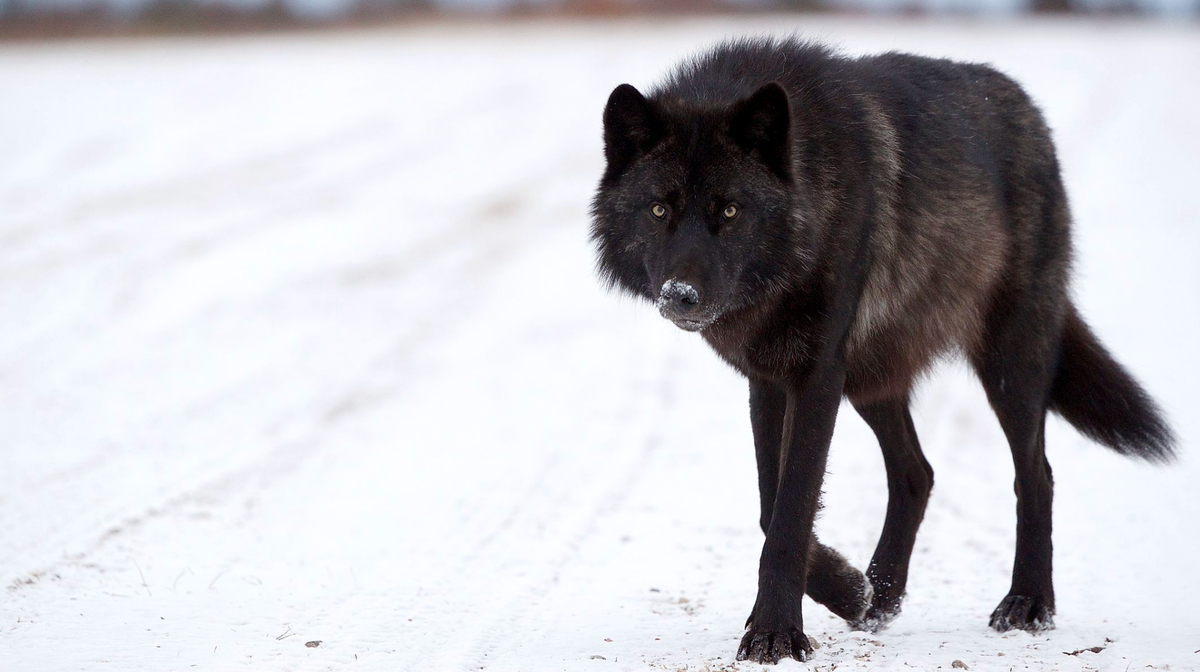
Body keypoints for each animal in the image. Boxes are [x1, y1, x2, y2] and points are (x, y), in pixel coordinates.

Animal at [588, 39, 1171, 662]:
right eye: (658, 210)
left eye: (729, 210)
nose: (681, 295)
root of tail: (1027, 109)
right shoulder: (769, 378)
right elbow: (772, 507)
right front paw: (848, 591)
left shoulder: (817, 375)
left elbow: (790, 512)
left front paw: (776, 633)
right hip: (871, 379)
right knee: (917, 474)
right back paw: (880, 597)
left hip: (1008, 364)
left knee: (1036, 475)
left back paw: (1029, 604)